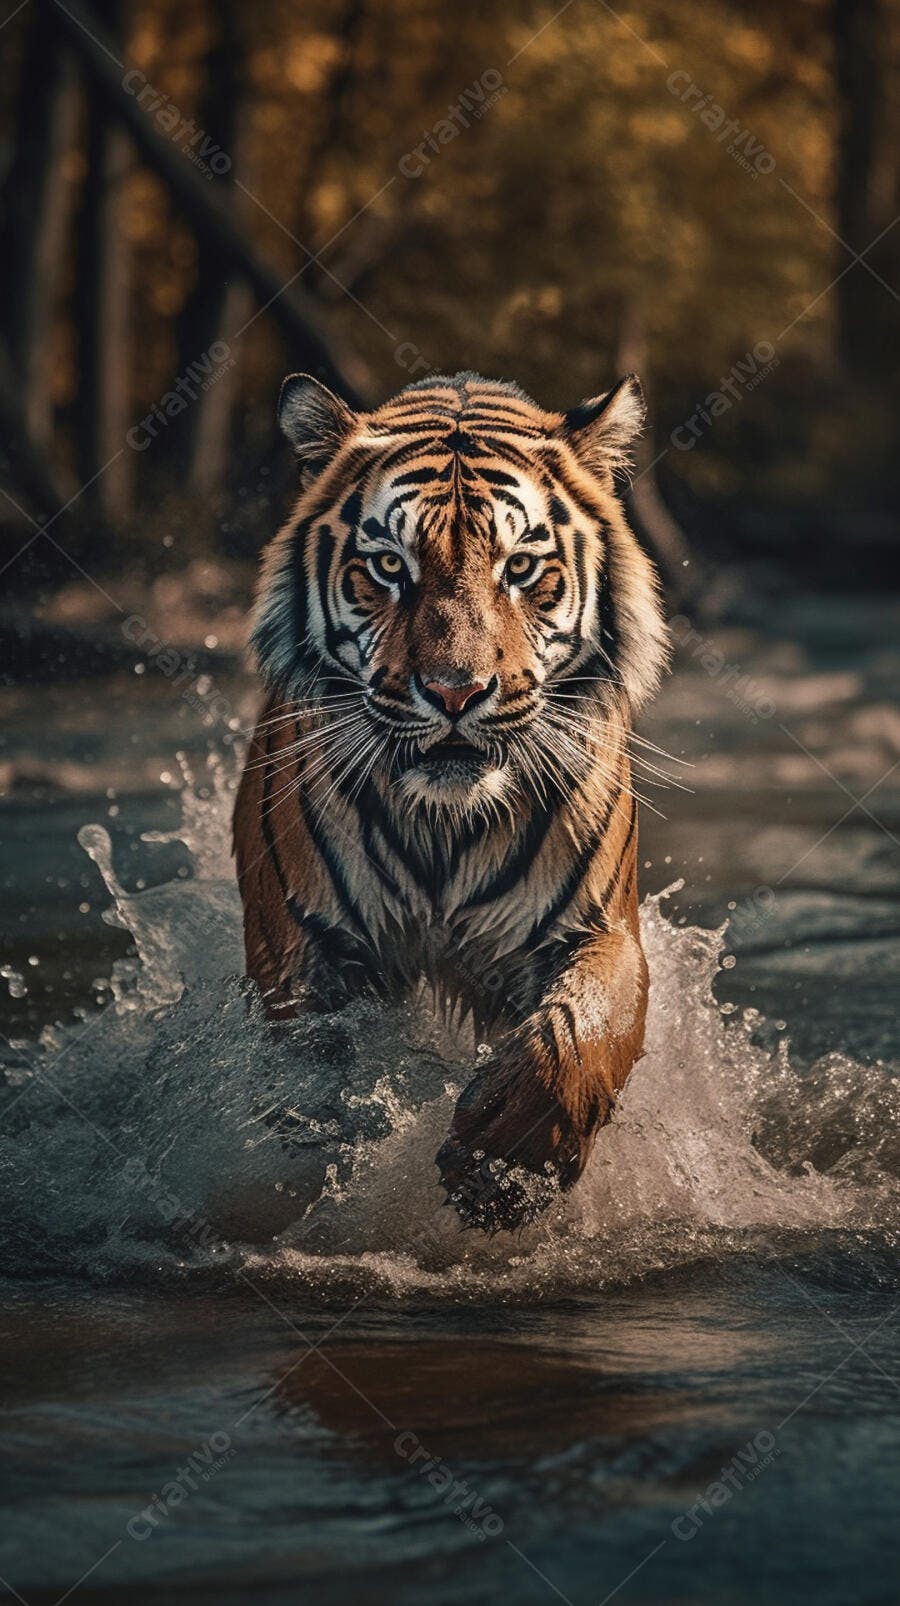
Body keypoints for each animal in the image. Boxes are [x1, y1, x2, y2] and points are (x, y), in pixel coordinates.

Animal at [233, 369, 669, 1231]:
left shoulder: (597, 927)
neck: (443, 824)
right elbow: (321, 1090)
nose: (456, 692)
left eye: (522, 568)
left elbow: (580, 1034)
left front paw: (503, 1170)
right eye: (388, 566)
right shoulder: (301, 952)